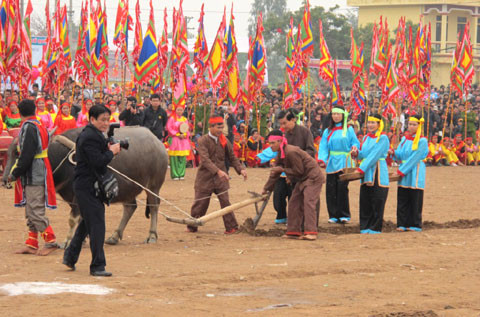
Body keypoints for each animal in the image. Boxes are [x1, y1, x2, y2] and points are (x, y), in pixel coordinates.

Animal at [2, 125, 168, 244]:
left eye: (17, 153)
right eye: (8, 153)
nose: (5, 178)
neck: (62, 156)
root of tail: (158, 143)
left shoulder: (77, 195)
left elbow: (72, 219)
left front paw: (68, 241)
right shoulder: (73, 196)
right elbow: (82, 217)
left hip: (153, 186)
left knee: (154, 205)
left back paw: (152, 235)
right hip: (128, 188)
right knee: (130, 207)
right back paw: (114, 236)